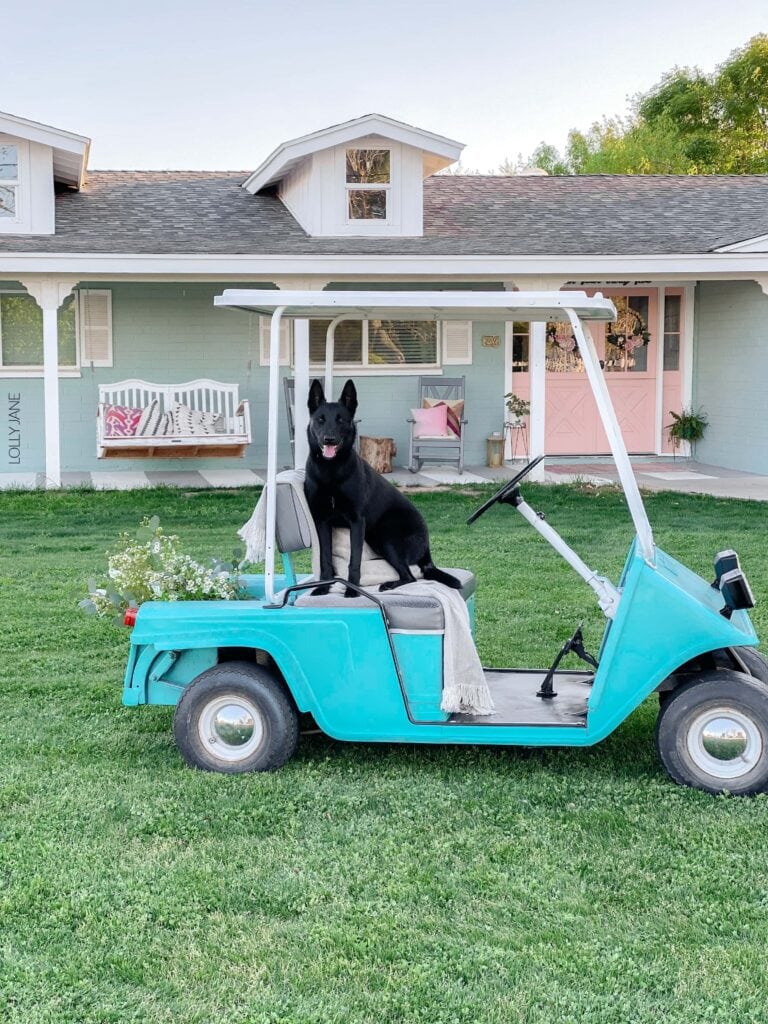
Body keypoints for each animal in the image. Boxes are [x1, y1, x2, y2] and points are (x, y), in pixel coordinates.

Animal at [307, 380, 462, 598]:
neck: (331, 472)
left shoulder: (357, 522)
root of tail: (427, 548)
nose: (329, 439)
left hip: (386, 539)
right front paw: (323, 587)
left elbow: (354, 561)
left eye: (341, 420)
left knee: (410, 577)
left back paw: (388, 585)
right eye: (320, 420)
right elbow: (325, 559)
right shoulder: (322, 522)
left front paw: (352, 590)